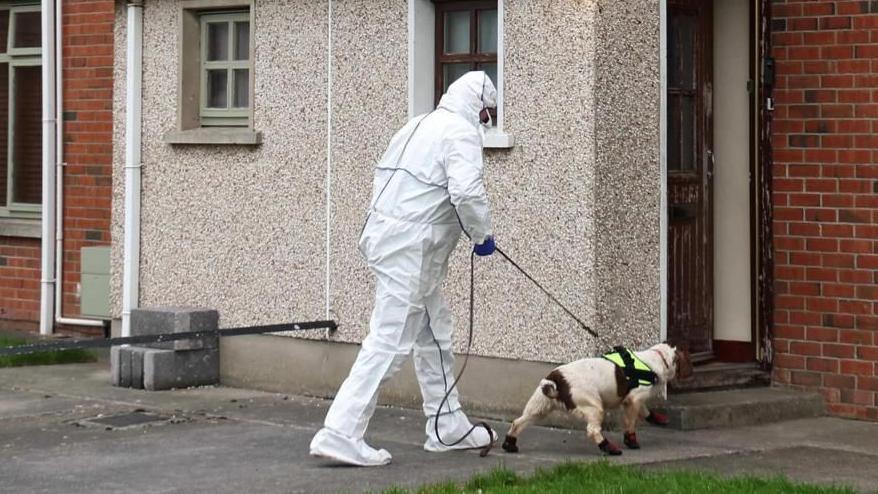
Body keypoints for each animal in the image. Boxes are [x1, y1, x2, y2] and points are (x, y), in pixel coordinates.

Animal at [502, 344, 696, 456]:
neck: (655, 360)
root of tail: (557, 379)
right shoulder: (633, 400)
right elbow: (631, 425)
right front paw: (631, 441)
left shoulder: (632, 400)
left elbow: (646, 411)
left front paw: (657, 418)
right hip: (594, 407)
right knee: (593, 431)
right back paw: (608, 447)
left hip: (539, 407)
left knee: (518, 422)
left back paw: (510, 444)